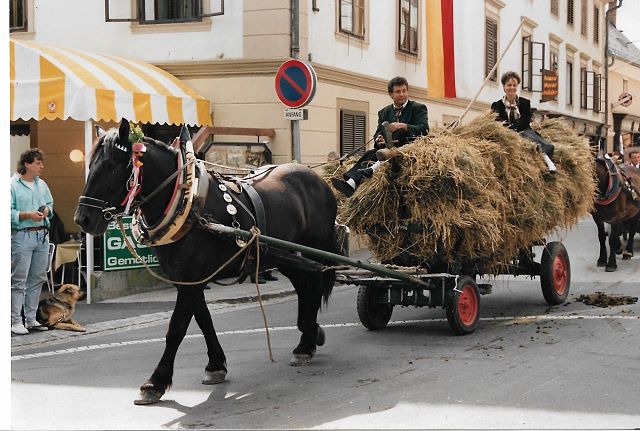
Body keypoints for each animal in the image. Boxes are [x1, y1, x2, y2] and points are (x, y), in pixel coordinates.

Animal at [75, 119, 340, 404]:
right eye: (90, 166)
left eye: (111, 166)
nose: (83, 219)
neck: (187, 201)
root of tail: (317, 178)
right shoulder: (188, 279)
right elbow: (203, 320)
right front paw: (216, 365)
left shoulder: (192, 279)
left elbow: (177, 327)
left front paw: (156, 381)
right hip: (282, 255)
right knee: (306, 283)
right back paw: (309, 337)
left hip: (314, 247)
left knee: (314, 281)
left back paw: (307, 341)